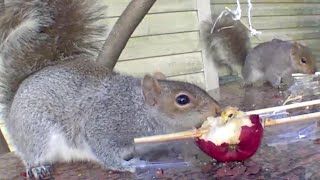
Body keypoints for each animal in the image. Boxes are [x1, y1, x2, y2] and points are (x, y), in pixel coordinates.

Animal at [0, 0, 221, 179]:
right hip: (36, 132)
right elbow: (104, 152)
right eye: (182, 100)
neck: (137, 108)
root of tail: (11, 111)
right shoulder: (104, 125)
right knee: (31, 152)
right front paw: (127, 165)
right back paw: (35, 167)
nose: (217, 110)